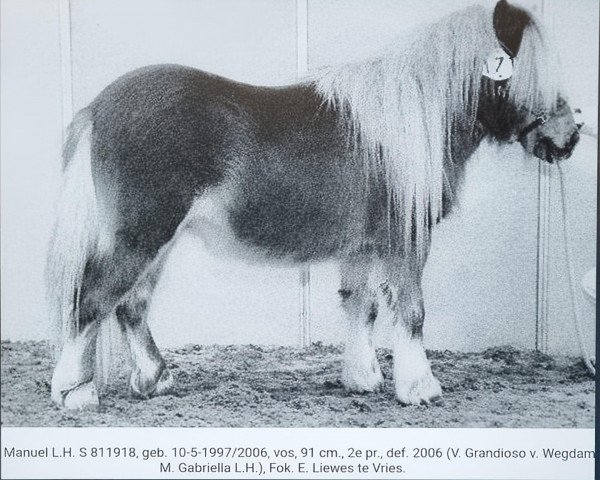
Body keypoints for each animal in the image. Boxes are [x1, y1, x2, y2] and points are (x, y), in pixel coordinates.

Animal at [49, 1, 580, 410]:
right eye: (534, 77)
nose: (571, 136)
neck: (412, 117)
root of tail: (98, 107)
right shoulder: (406, 239)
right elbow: (410, 311)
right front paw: (420, 389)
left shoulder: (363, 246)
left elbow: (361, 306)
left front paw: (363, 379)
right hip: (142, 235)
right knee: (92, 298)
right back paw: (76, 393)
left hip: (157, 241)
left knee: (130, 305)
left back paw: (154, 379)